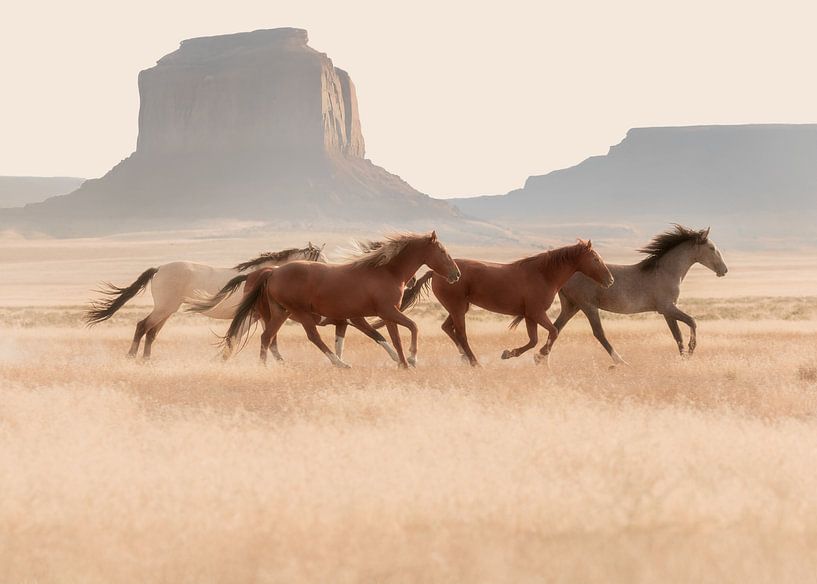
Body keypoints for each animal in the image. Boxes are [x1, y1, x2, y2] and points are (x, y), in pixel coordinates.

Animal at [221, 231, 460, 369]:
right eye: (442, 251)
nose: (456, 274)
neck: (386, 272)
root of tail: (273, 272)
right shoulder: (386, 312)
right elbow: (410, 328)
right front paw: (410, 360)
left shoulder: (376, 316)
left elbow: (388, 338)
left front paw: (402, 363)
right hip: (299, 312)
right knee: (312, 336)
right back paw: (338, 363)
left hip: (280, 312)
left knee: (267, 337)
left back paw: (264, 367)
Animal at [403, 240, 613, 367]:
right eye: (595, 259)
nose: (610, 280)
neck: (543, 274)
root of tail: (437, 272)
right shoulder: (536, 313)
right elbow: (552, 332)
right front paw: (539, 355)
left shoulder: (530, 316)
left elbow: (533, 340)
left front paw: (509, 353)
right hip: (457, 308)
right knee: (461, 334)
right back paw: (475, 362)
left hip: (459, 308)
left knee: (447, 328)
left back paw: (464, 357)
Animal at [549, 225, 728, 365]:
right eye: (712, 248)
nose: (724, 270)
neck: (667, 272)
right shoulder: (667, 308)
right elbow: (692, 322)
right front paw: (690, 352)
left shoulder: (668, 312)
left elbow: (678, 336)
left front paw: (683, 358)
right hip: (588, 306)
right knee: (599, 333)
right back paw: (621, 362)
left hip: (572, 306)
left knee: (556, 328)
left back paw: (544, 360)